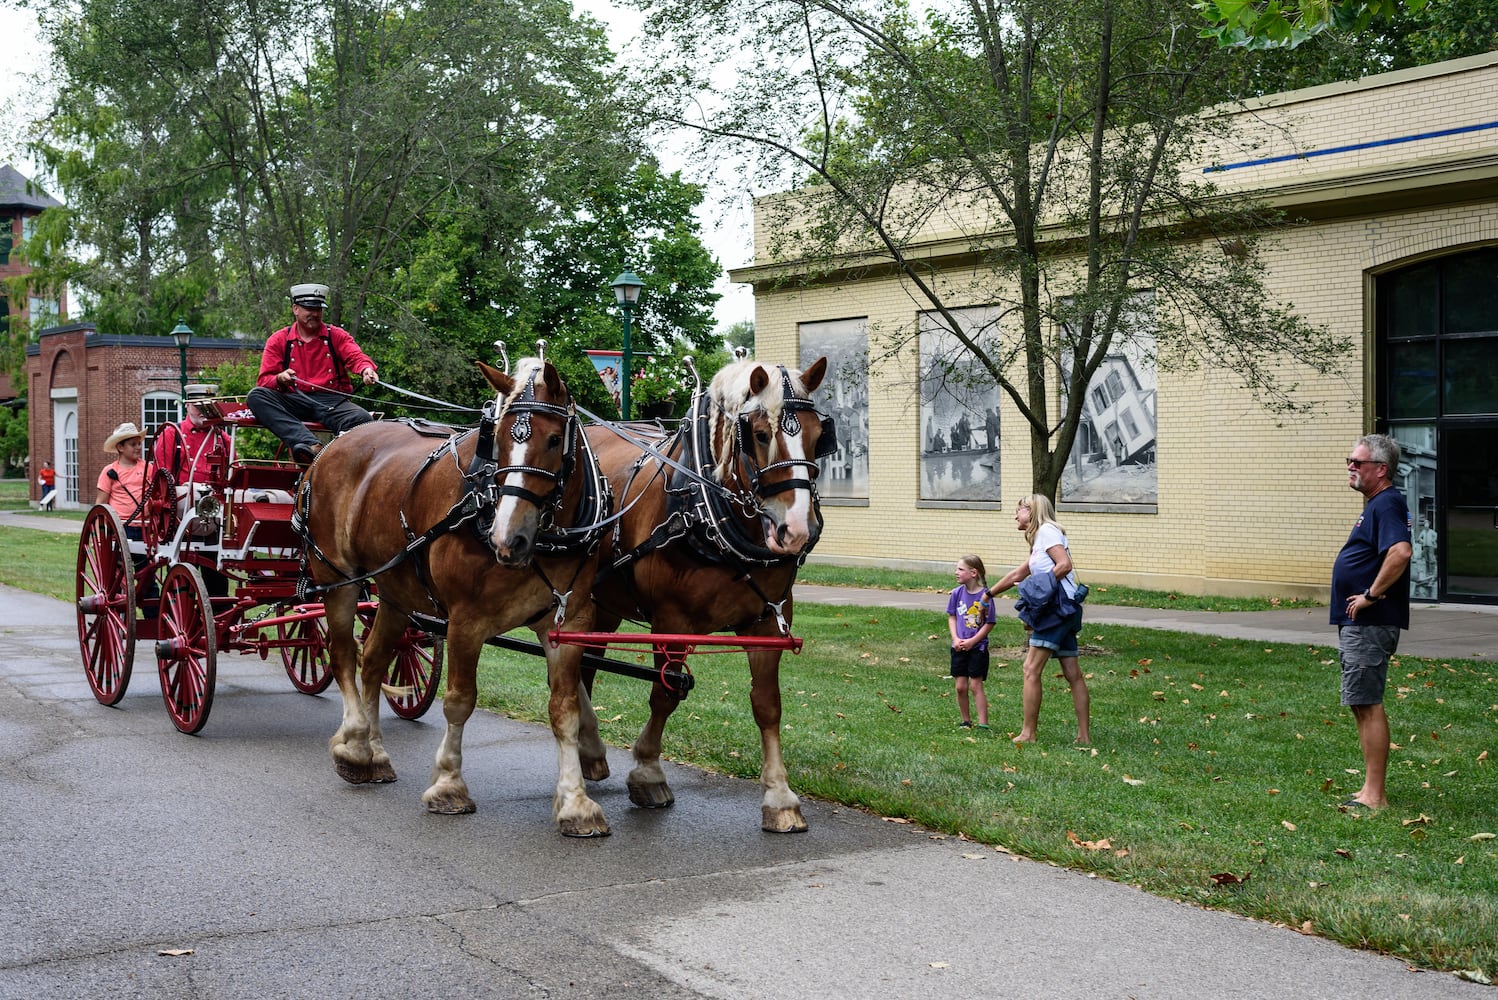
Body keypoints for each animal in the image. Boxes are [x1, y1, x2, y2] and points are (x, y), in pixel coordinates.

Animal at [301, 357, 611, 838]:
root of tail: (329, 448)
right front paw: (449, 784)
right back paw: (353, 742)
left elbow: (565, 711)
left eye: (553, 439)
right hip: (337, 578)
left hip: (395, 590)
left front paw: (576, 802)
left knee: (373, 660)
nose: (508, 539)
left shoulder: (569, 620)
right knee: (343, 654)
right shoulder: (466, 622)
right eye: (499, 438)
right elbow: (460, 701)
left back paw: (372, 752)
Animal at [578, 354, 832, 832]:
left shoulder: (767, 620)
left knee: (583, 663)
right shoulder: (670, 620)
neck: (707, 509)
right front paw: (648, 773)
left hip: (603, 605)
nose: (796, 531)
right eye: (760, 434)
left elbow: (768, 705)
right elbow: (666, 693)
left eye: (817, 435)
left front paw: (780, 797)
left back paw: (587, 750)